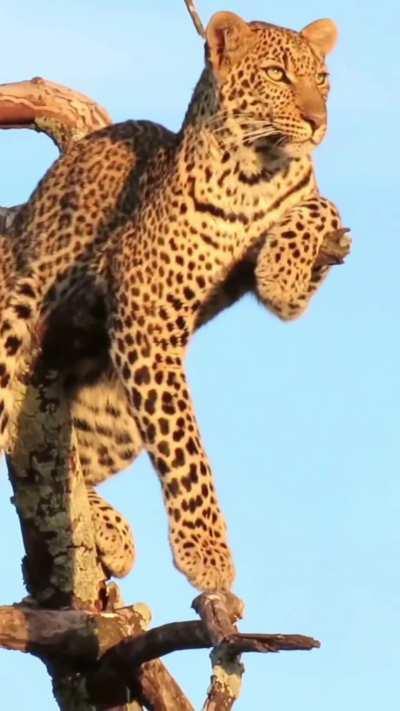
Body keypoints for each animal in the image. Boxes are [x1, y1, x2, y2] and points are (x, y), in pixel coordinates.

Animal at [0, 11, 350, 590]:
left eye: (321, 80)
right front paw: (207, 553)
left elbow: (323, 210)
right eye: (277, 75)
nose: (317, 122)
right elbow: (184, 447)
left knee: (77, 466)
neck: (256, 174)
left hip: (116, 415)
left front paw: (281, 269)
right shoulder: (147, 308)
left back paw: (110, 532)